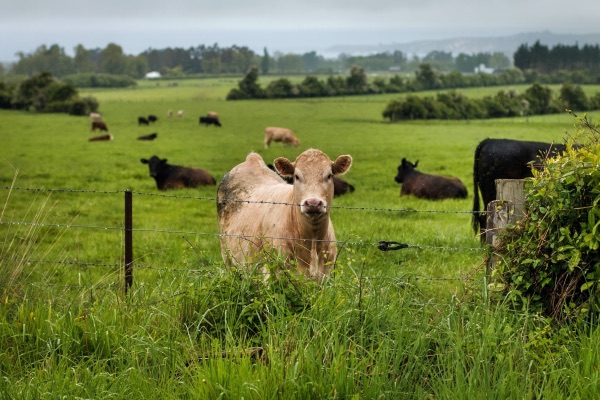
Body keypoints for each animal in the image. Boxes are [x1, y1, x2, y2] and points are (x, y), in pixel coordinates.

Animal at [217, 148, 352, 280]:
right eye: (297, 176)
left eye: (329, 175)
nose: (313, 203)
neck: (312, 240)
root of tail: (252, 159)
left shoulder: (325, 274)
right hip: (226, 254)